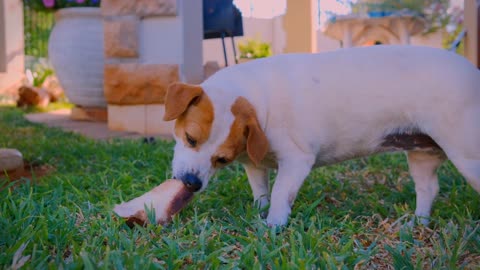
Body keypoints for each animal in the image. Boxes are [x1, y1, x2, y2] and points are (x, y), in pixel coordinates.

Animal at [162, 46, 480, 226]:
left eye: (221, 159)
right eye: (190, 139)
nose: (191, 183)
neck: (259, 101)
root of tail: (474, 72)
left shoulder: (296, 161)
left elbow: (280, 194)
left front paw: (273, 224)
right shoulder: (255, 164)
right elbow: (261, 191)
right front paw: (259, 211)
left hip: (468, 157)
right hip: (421, 154)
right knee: (428, 189)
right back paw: (417, 223)